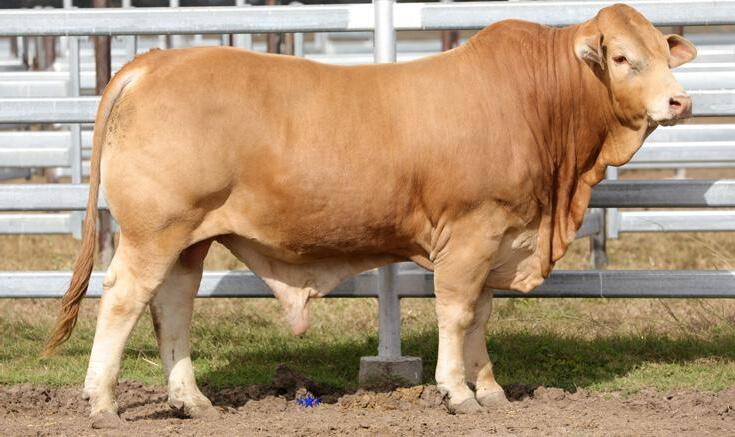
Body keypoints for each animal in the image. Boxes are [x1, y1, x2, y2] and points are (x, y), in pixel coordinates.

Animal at [43, 3, 696, 427]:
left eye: (665, 54)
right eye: (621, 56)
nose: (680, 100)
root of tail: (153, 61)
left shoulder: (501, 238)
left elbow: (482, 317)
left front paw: (490, 391)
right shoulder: (470, 233)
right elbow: (458, 314)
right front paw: (457, 392)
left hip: (190, 239)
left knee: (173, 306)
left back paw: (192, 401)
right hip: (154, 231)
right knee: (124, 298)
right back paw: (102, 402)